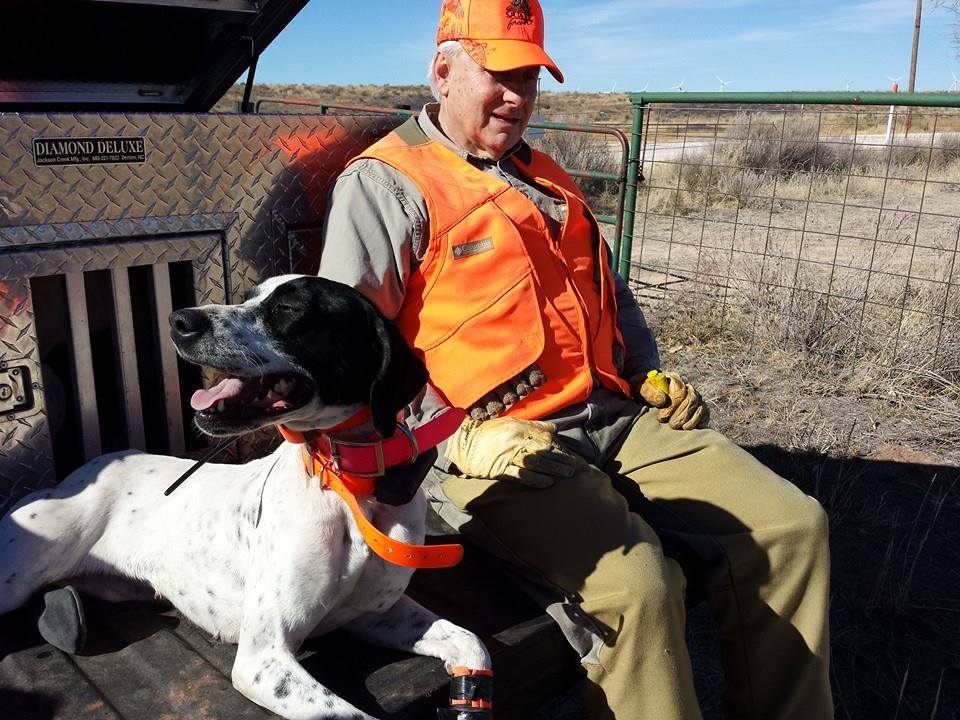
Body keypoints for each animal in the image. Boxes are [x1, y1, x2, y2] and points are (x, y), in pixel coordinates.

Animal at [0, 274, 492, 720]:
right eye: (249, 296)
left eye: (289, 309)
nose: (180, 319)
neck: (349, 489)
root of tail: (78, 474)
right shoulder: (264, 659)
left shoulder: (375, 615)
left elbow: (473, 643)